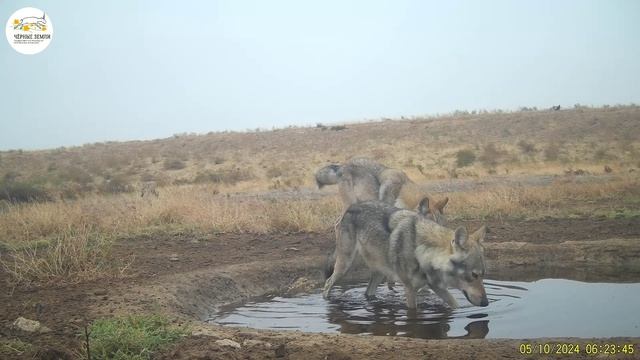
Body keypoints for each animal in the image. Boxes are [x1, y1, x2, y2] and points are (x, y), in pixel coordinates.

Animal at [322, 198, 488, 308]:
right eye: (474, 275)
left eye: (482, 275)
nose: (486, 303)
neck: (422, 251)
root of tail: (352, 206)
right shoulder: (410, 289)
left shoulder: (437, 287)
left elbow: (455, 306)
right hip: (345, 266)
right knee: (327, 283)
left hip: (379, 272)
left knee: (368, 292)